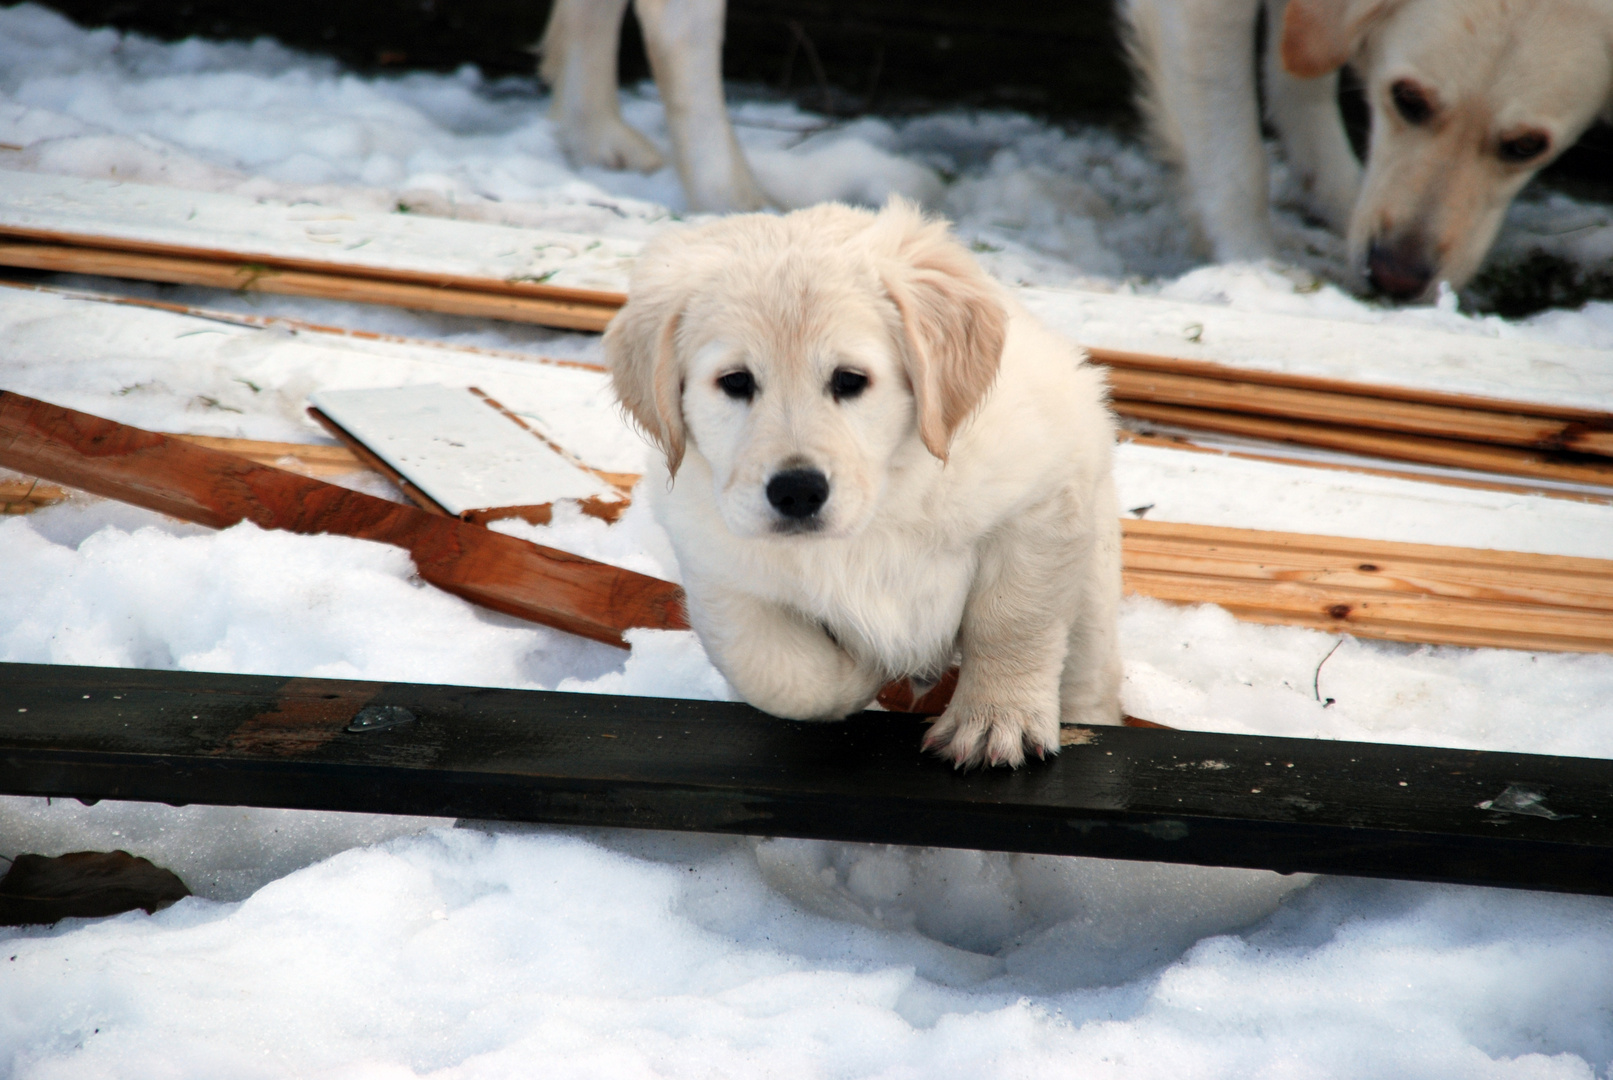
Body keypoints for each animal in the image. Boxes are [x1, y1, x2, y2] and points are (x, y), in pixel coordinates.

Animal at [606, 200, 1122, 770]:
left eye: (849, 380)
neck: (882, 500)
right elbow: (782, 675)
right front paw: (864, 668)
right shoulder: (721, 567)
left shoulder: (1042, 501)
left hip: (1094, 577)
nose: (797, 492)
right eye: (736, 382)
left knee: (1088, 672)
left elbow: (1013, 621)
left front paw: (994, 720)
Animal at [1122, 0, 1613, 299]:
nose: (1395, 278)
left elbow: (1301, 75)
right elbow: (1235, 155)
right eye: (1408, 98)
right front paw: (1253, 270)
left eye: (1526, 146)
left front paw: (1338, 199)